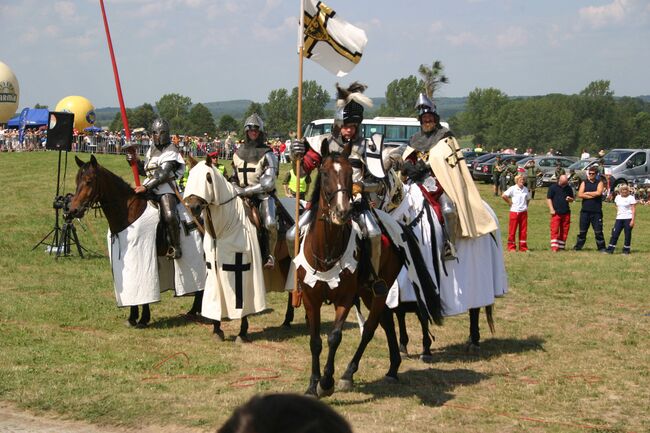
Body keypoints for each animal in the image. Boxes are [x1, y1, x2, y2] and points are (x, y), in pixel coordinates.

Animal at [296, 145, 402, 398]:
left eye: (348, 174)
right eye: (324, 173)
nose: (342, 212)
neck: (326, 252)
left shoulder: (344, 298)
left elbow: (335, 337)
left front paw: (327, 382)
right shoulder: (310, 299)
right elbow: (315, 341)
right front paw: (313, 385)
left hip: (379, 289)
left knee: (371, 328)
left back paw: (348, 373)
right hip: (365, 291)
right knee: (386, 320)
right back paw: (393, 368)